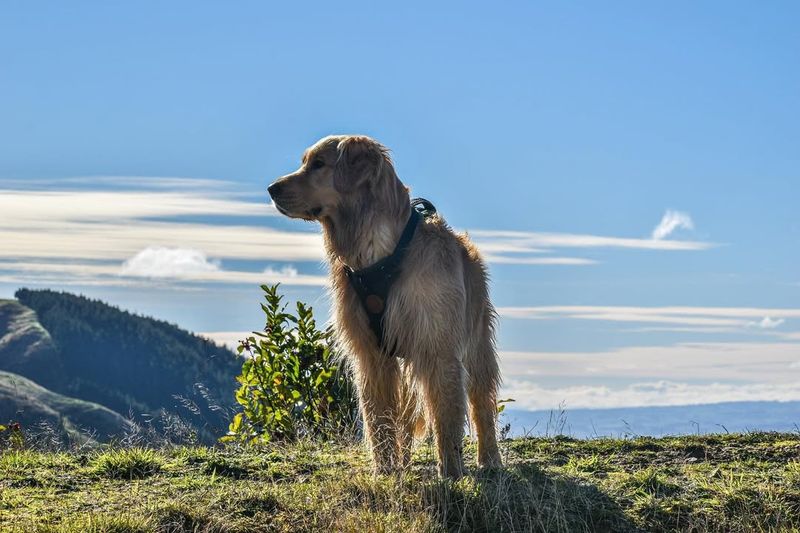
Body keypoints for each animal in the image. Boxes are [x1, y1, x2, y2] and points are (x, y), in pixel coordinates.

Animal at [268, 135, 500, 476]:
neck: (381, 255)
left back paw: (490, 458)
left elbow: (447, 414)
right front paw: (385, 470)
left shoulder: (438, 345)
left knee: (482, 401)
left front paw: (450, 471)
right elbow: (378, 417)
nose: (272, 188)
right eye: (304, 162)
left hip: (477, 341)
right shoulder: (371, 353)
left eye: (319, 164)